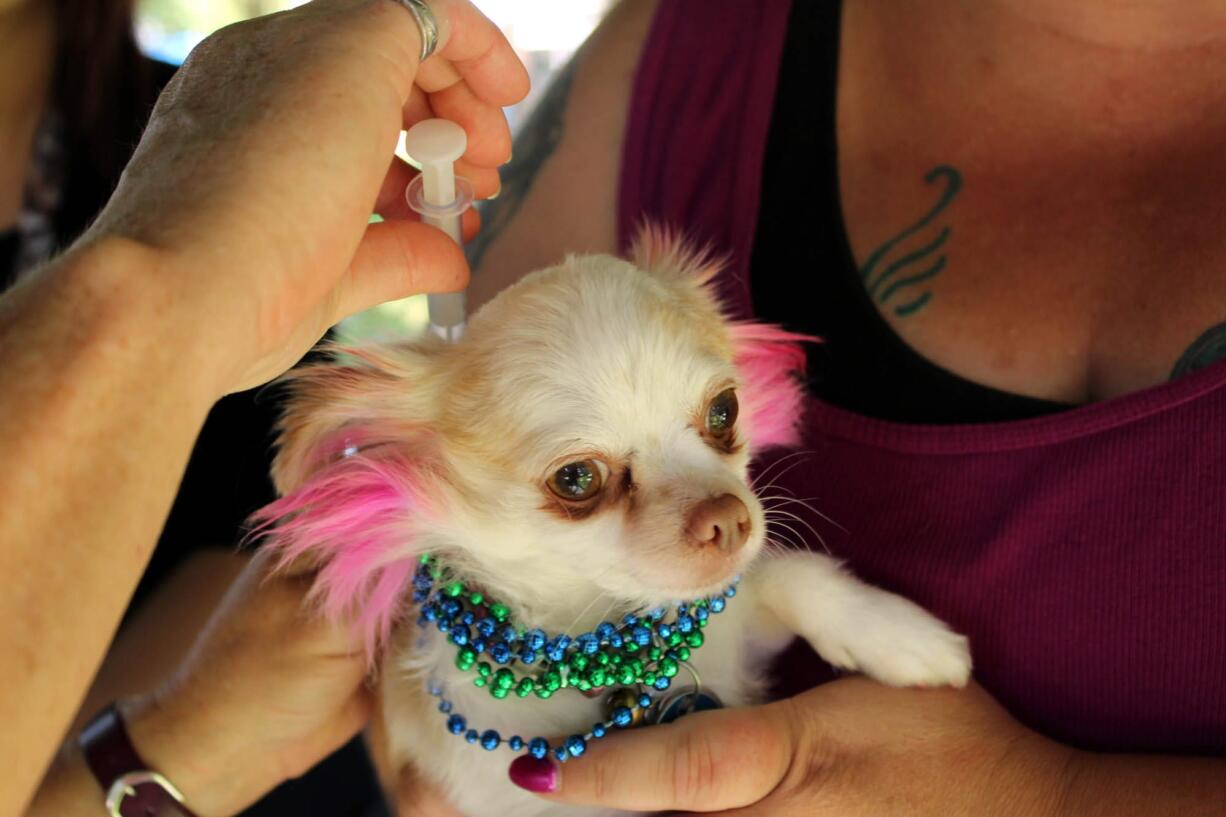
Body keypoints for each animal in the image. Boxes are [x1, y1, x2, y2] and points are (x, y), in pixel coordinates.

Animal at [253, 224, 970, 814]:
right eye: (577, 479)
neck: (600, 625)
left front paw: (900, 635)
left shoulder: (739, 635)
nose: (728, 517)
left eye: (725, 411)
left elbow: (791, 576)